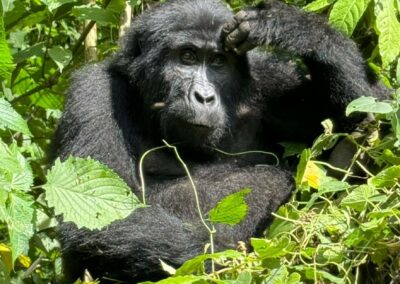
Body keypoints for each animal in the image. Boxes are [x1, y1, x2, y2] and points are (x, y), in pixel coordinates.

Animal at [54, 0, 386, 280]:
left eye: (217, 61)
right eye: (187, 57)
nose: (204, 96)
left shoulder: (270, 77)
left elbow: (378, 109)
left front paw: (294, 27)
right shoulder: (93, 92)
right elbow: (98, 213)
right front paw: (232, 257)